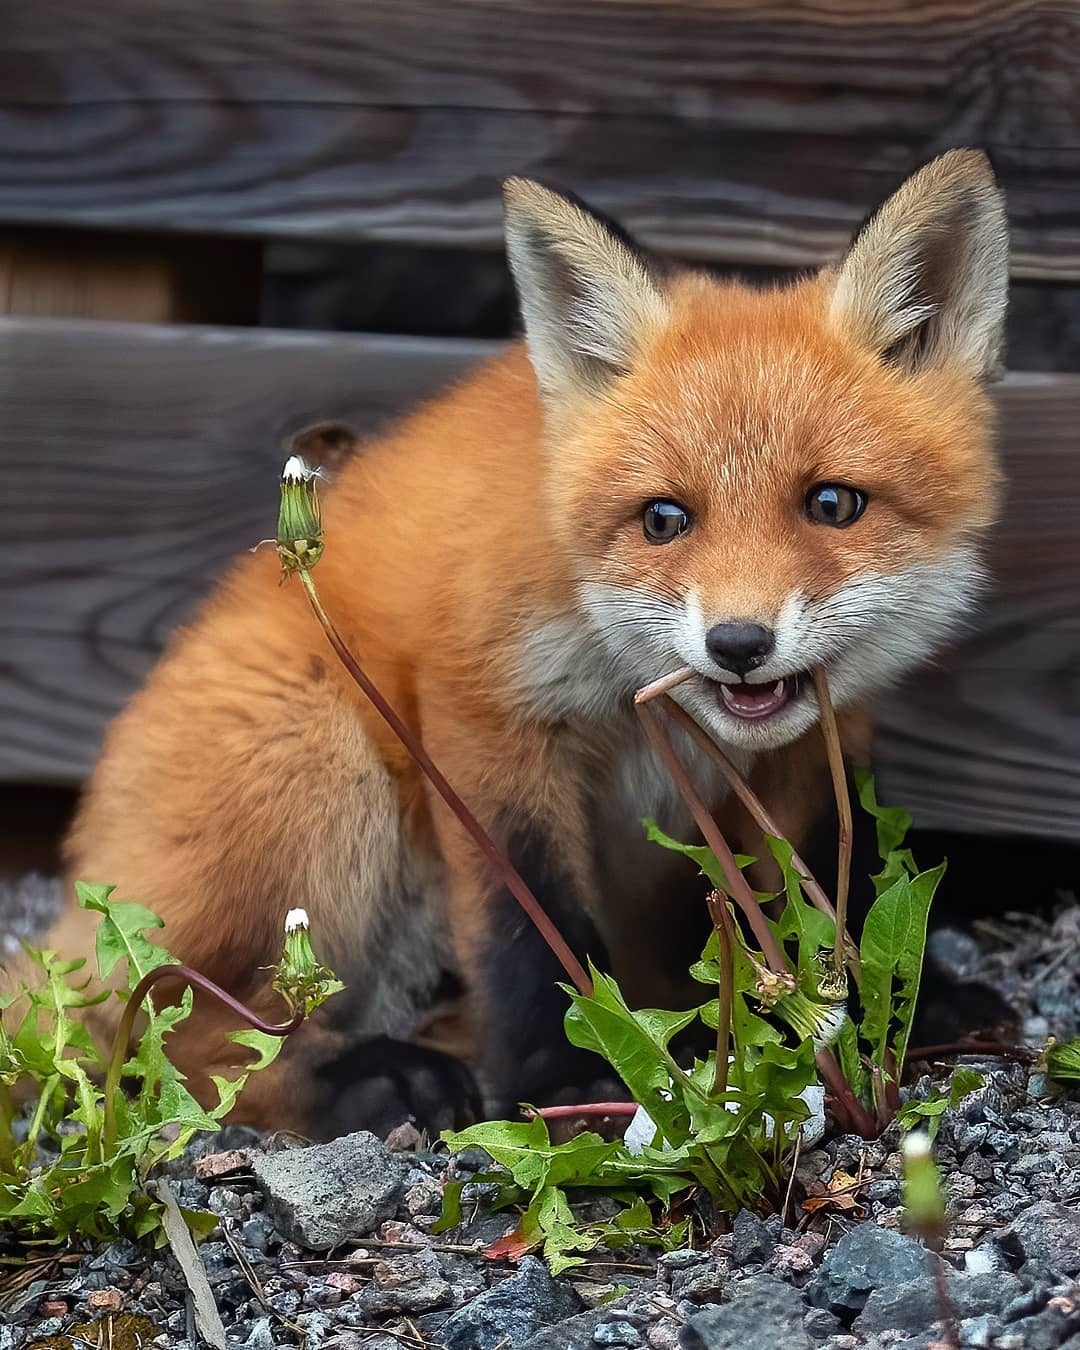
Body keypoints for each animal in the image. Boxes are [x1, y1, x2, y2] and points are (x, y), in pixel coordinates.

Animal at [18, 150, 1015, 1139]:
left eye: (833, 504)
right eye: (664, 519)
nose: (738, 643)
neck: (632, 690)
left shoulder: (822, 740)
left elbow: (830, 887)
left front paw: (887, 1003)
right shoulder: (487, 715)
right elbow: (528, 929)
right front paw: (568, 1079)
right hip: (324, 779)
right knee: (170, 1042)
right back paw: (368, 1082)